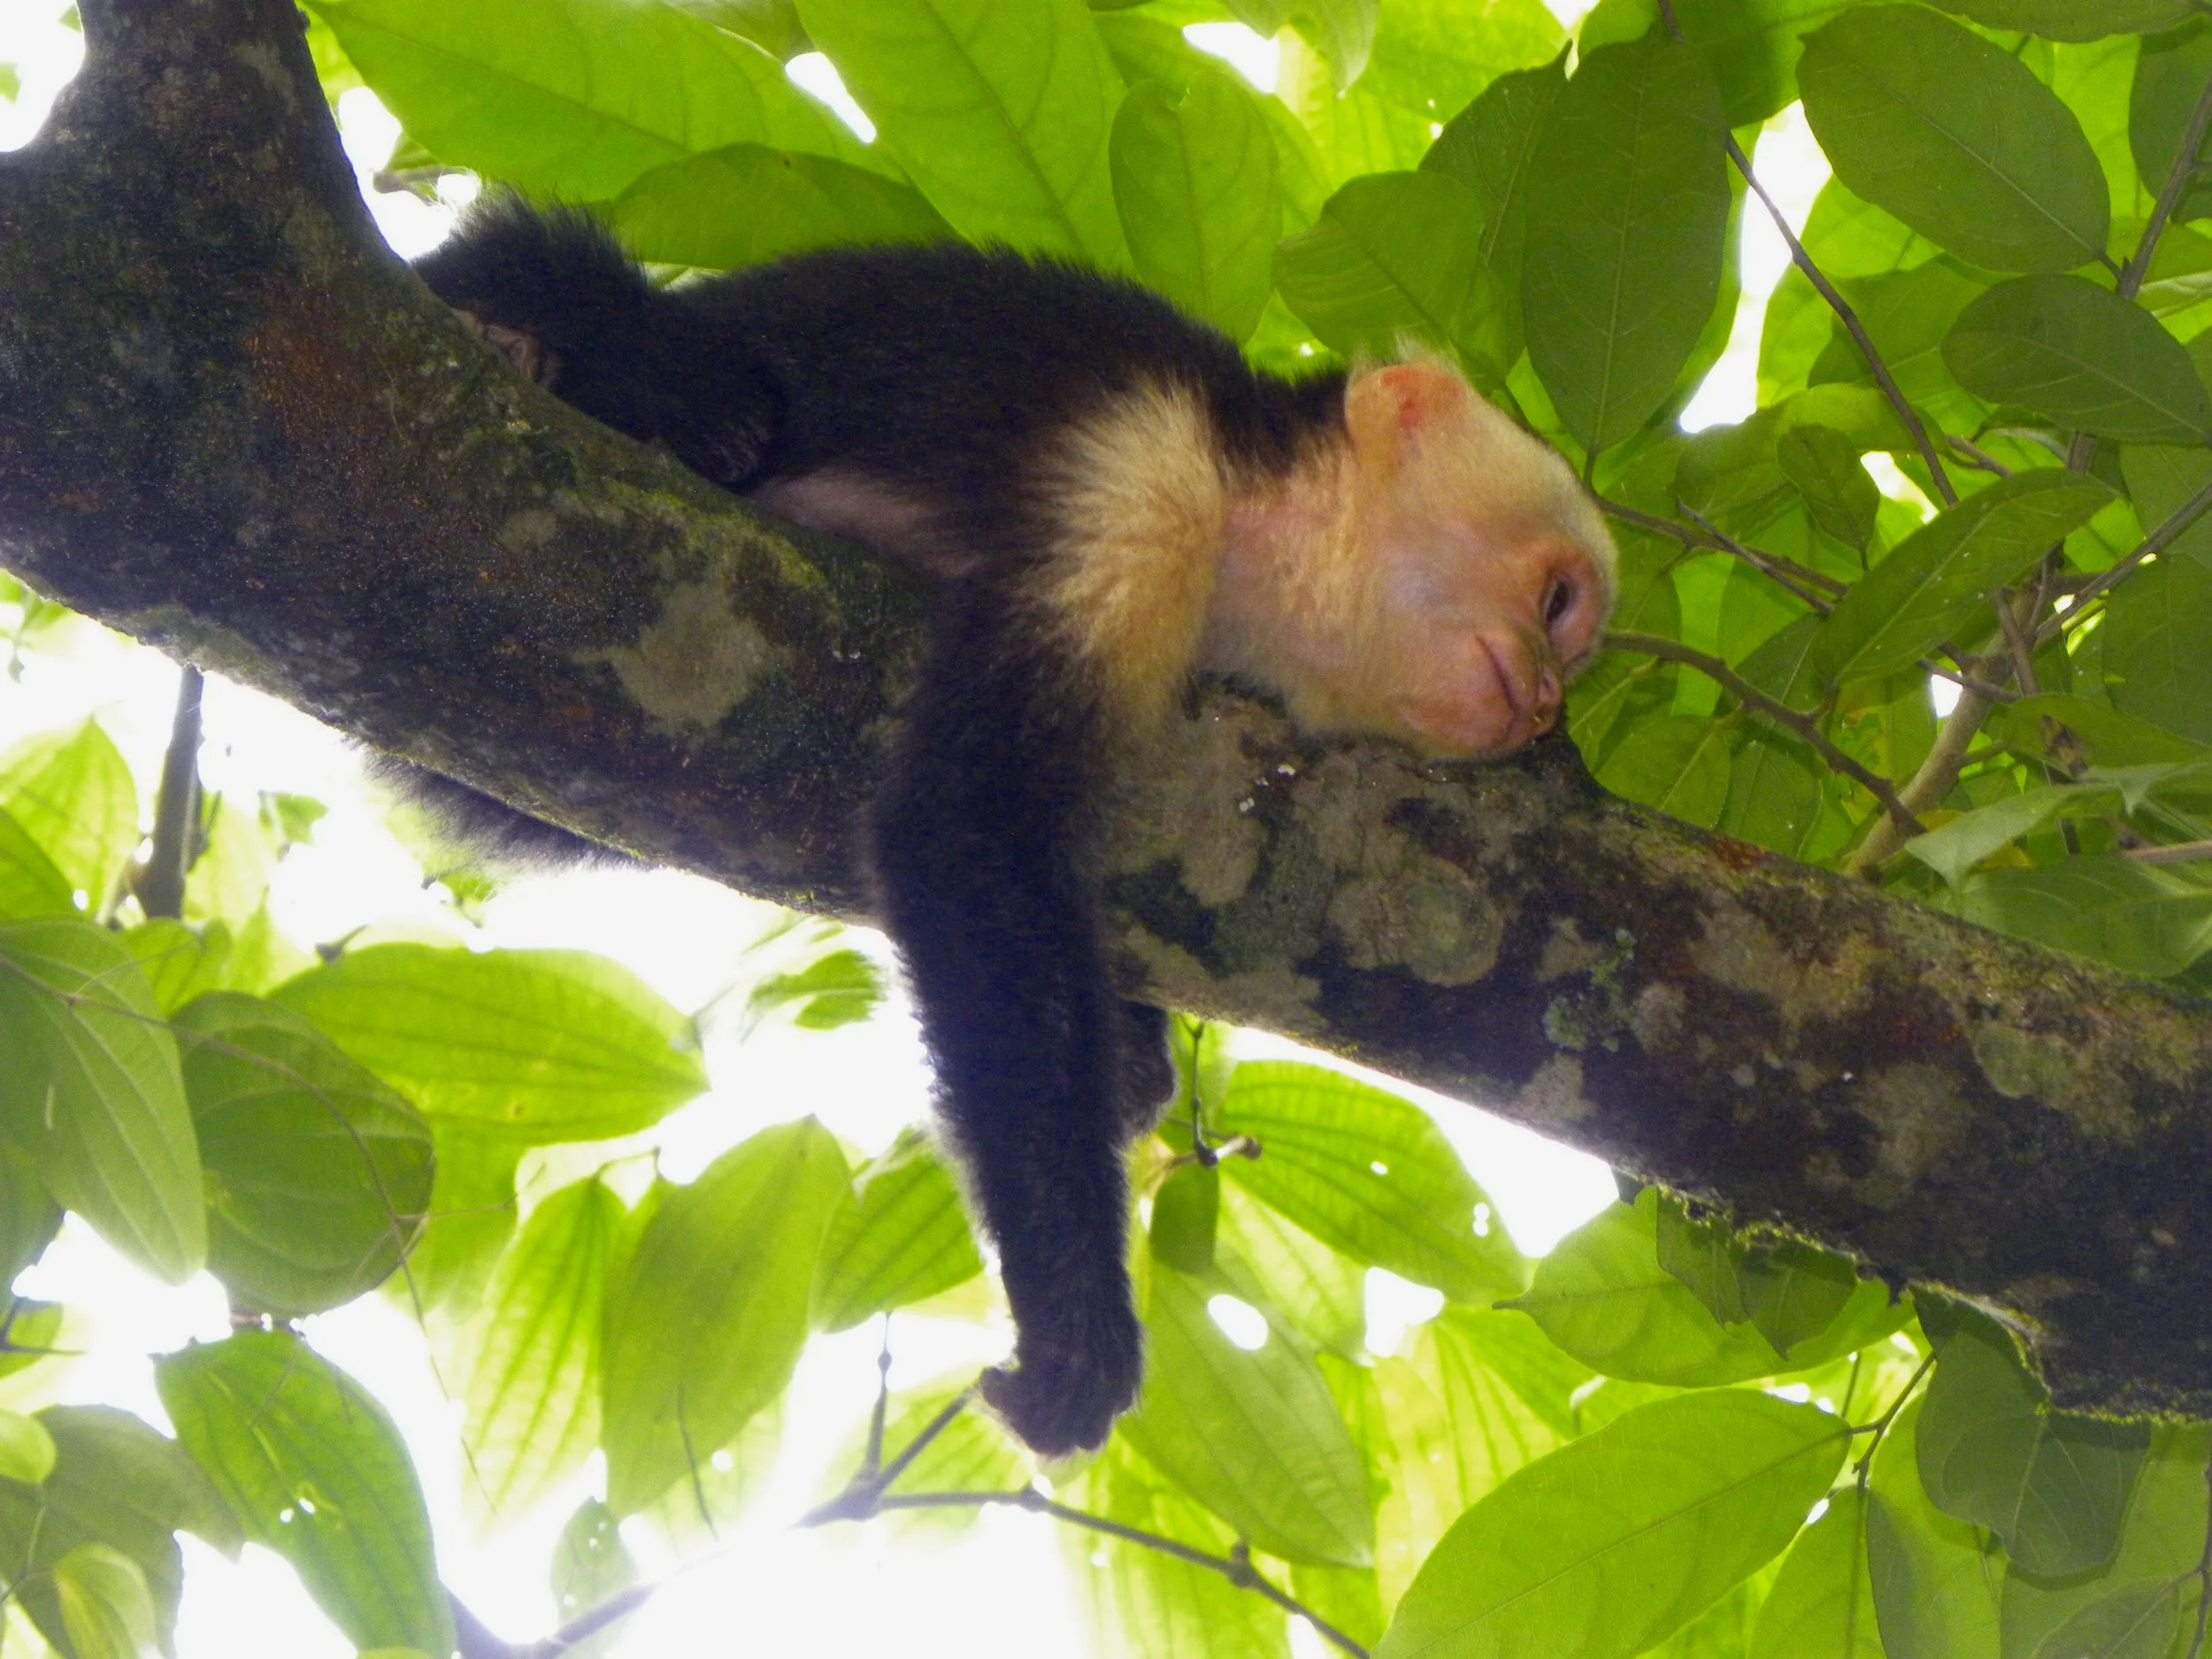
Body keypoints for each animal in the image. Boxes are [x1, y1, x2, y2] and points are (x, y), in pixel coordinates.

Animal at [411, 198, 1617, 1456]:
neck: (1244, 509)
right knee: (549, 272)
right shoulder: (1139, 488)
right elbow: (968, 839)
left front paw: (1132, 1054)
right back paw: (632, 365)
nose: (1545, 704)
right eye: (1556, 604)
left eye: (1571, 649)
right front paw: (1076, 1325)